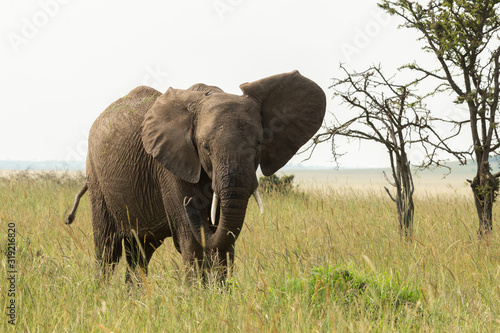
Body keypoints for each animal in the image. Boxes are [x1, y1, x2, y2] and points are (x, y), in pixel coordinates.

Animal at [65, 69, 324, 280]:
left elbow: (224, 240)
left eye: (259, 143)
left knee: (139, 253)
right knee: (107, 250)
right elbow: (192, 242)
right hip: (96, 177)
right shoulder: (170, 166)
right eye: (205, 147)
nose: (189, 204)